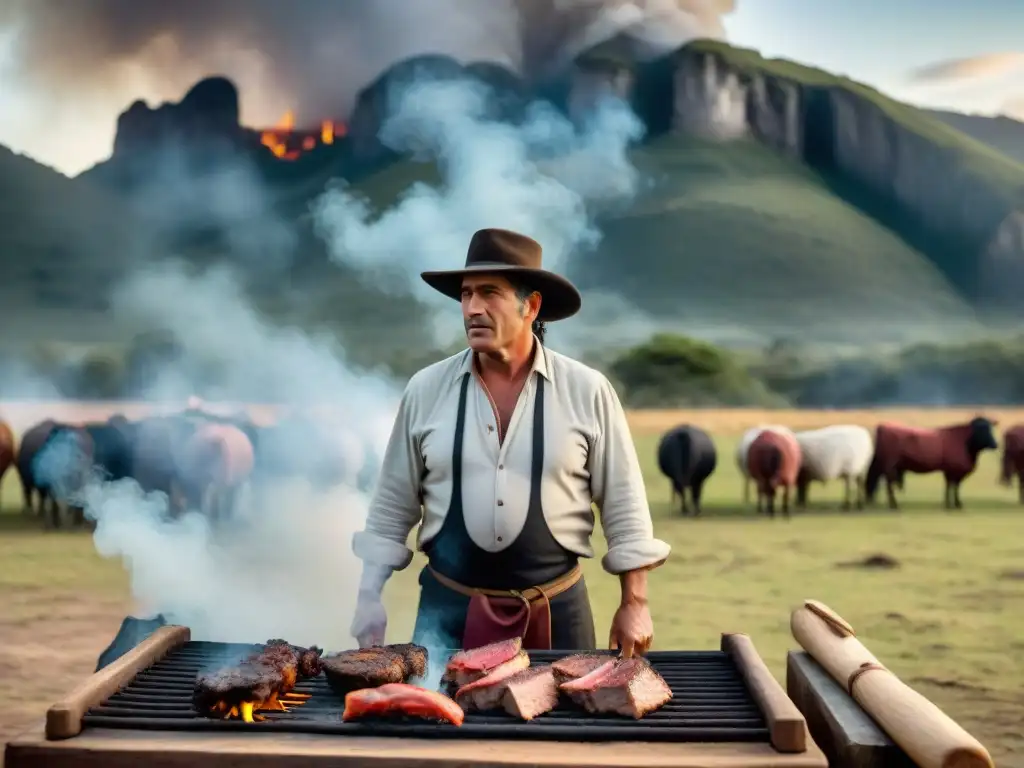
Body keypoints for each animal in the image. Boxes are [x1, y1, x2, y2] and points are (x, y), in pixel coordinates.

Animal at [864, 415, 999, 512]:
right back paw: (894, 505)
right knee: (889, 485)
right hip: (890, 465)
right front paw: (955, 504)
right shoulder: (955, 469)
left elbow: (951, 486)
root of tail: (884, 425)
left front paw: (950, 504)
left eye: (990, 429)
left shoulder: (950, 470)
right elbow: (953, 486)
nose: (995, 445)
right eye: (981, 430)